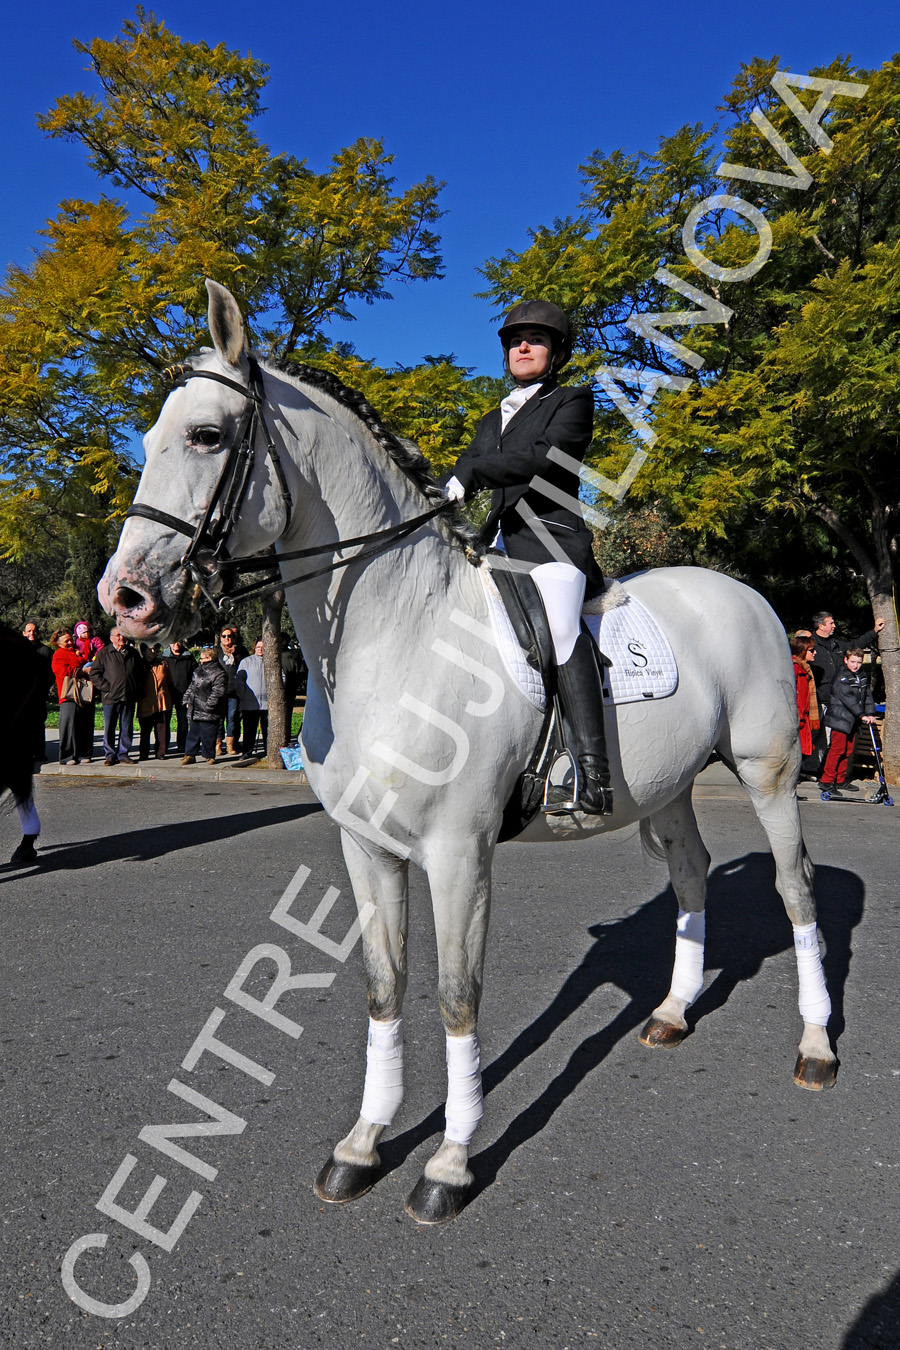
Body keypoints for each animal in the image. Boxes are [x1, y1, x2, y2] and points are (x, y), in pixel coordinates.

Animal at [98, 282, 836, 1225]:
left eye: (205, 436)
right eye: (148, 439)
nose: (123, 599)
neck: (394, 638)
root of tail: (736, 590)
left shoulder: (459, 854)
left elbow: (456, 996)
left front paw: (448, 1163)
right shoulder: (366, 848)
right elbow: (384, 988)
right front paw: (362, 1146)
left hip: (770, 771)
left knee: (795, 886)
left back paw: (816, 1048)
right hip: (667, 788)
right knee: (692, 873)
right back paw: (673, 1012)